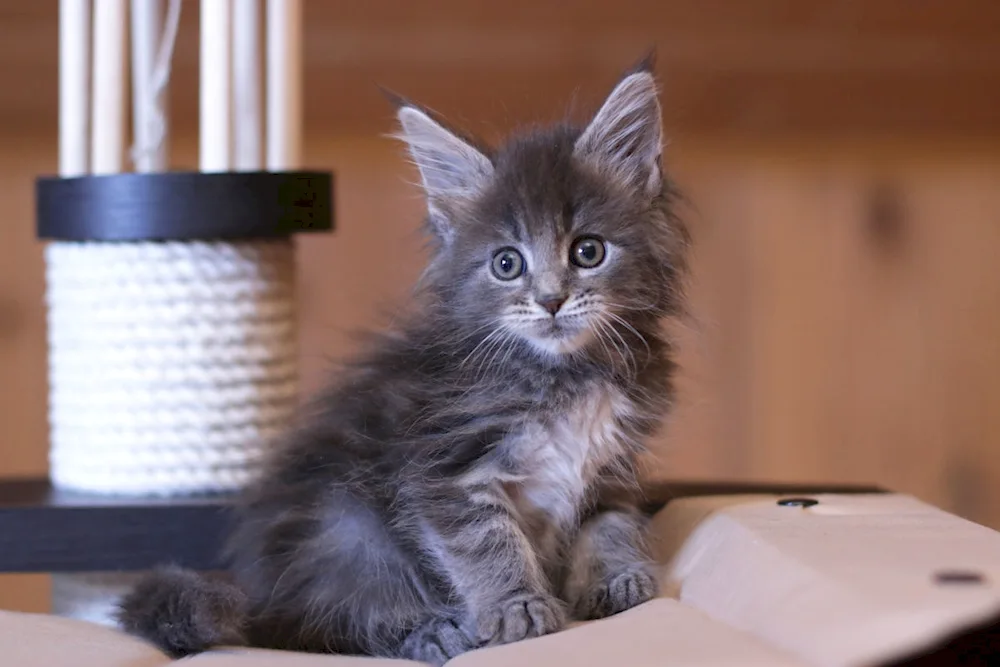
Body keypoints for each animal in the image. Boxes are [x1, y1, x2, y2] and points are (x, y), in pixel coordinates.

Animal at [115, 58, 688, 667]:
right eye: (507, 264)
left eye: (588, 251)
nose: (552, 300)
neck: (564, 374)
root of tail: (259, 593)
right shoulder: (445, 471)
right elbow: (487, 544)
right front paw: (518, 606)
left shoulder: (610, 468)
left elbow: (610, 526)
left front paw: (619, 579)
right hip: (347, 527)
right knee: (340, 615)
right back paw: (431, 631)